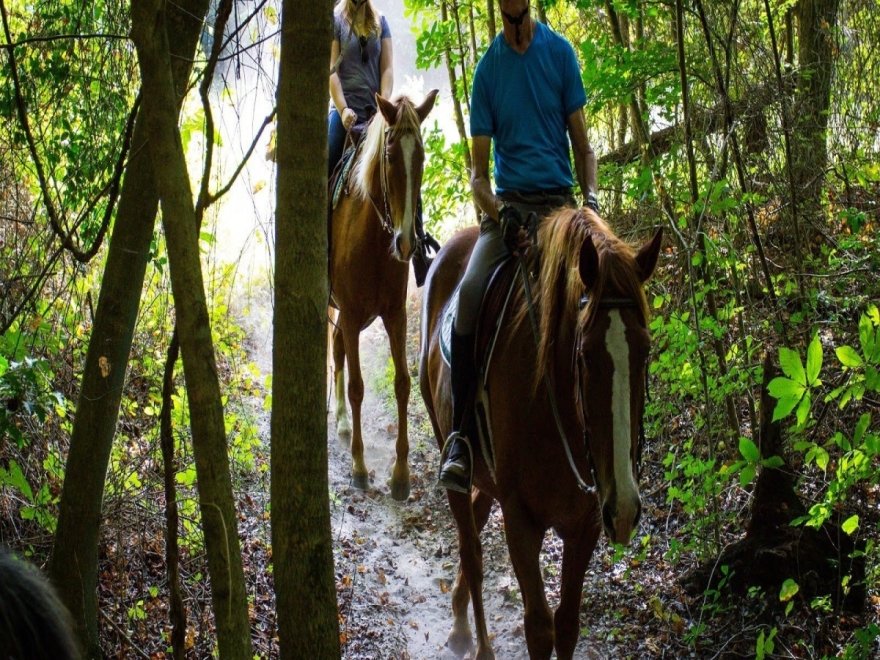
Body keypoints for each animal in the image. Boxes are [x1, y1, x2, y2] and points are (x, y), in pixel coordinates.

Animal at [330, 87, 436, 500]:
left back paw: (343, 423)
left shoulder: (395, 315)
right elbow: (358, 386)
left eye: (421, 158)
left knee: (337, 349)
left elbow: (403, 384)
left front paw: (401, 474)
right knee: (335, 351)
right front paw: (359, 468)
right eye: (389, 156)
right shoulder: (351, 313)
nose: (406, 243)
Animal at [420, 210, 660, 660]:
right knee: (472, 549)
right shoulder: (521, 518)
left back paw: (459, 618)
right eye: (584, 355)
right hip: (451, 449)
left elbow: (566, 625)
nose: (624, 508)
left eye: (646, 350)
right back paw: (476, 642)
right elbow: (538, 627)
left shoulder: (586, 523)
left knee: (476, 516)